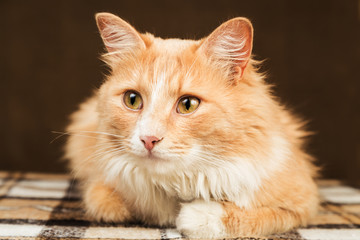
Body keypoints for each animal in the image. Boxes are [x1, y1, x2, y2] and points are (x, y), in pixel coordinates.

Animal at [64, 12, 318, 237]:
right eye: (132, 100)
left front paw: (195, 215)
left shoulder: (303, 202)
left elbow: (256, 216)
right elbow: (111, 204)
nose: (148, 139)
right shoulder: (101, 186)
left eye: (188, 104)